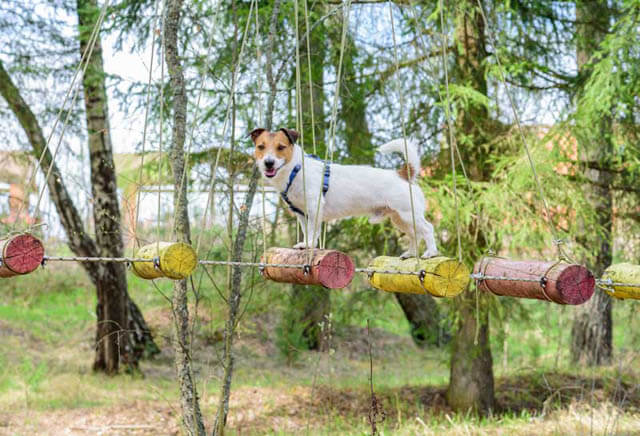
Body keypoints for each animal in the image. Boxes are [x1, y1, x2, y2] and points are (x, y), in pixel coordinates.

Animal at [250, 127, 440, 258]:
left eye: (281, 147)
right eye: (261, 147)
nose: (268, 163)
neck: (296, 169)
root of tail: (402, 174)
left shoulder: (314, 209)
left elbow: (313, 231)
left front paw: (310, 244)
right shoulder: (302, 214)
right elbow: (307, 230)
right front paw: (305, 243)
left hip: (408, 214)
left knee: (427, 229)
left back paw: (431, 252)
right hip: (399, 218)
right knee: (414, 234)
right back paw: (411, 254)